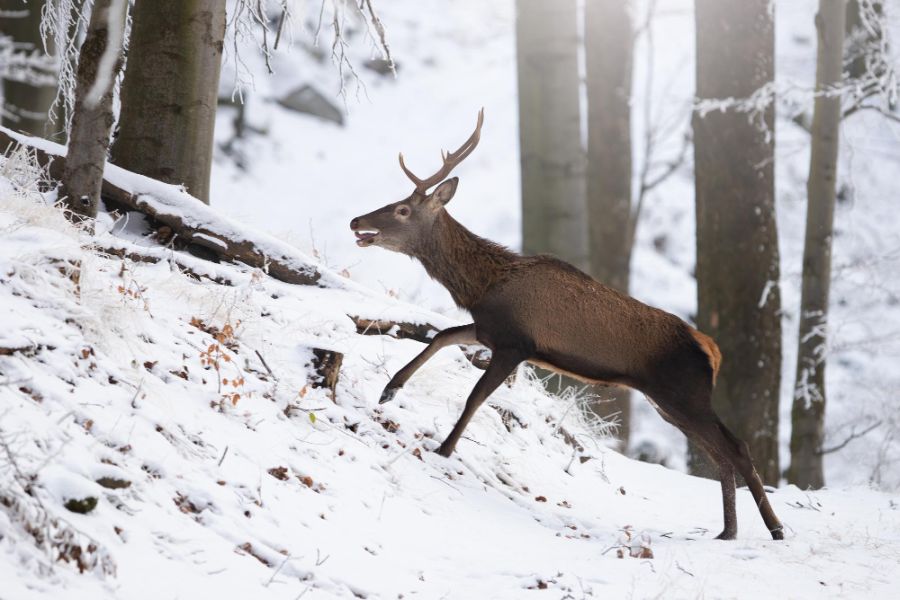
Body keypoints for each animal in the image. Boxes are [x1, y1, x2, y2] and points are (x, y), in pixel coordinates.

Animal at [348, 110, 784, 540]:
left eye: (402, 210)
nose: (355, 221)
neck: (483, 285)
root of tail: (712, 349)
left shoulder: (516, 345)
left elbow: (474, 397)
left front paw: (444, 449)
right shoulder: (489, 330)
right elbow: (441, 336)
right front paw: (390, 390)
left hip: (684, 394)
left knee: (736, 447)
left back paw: (773, 528)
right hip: (669, 402)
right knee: (721, 453)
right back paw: (729, 531)